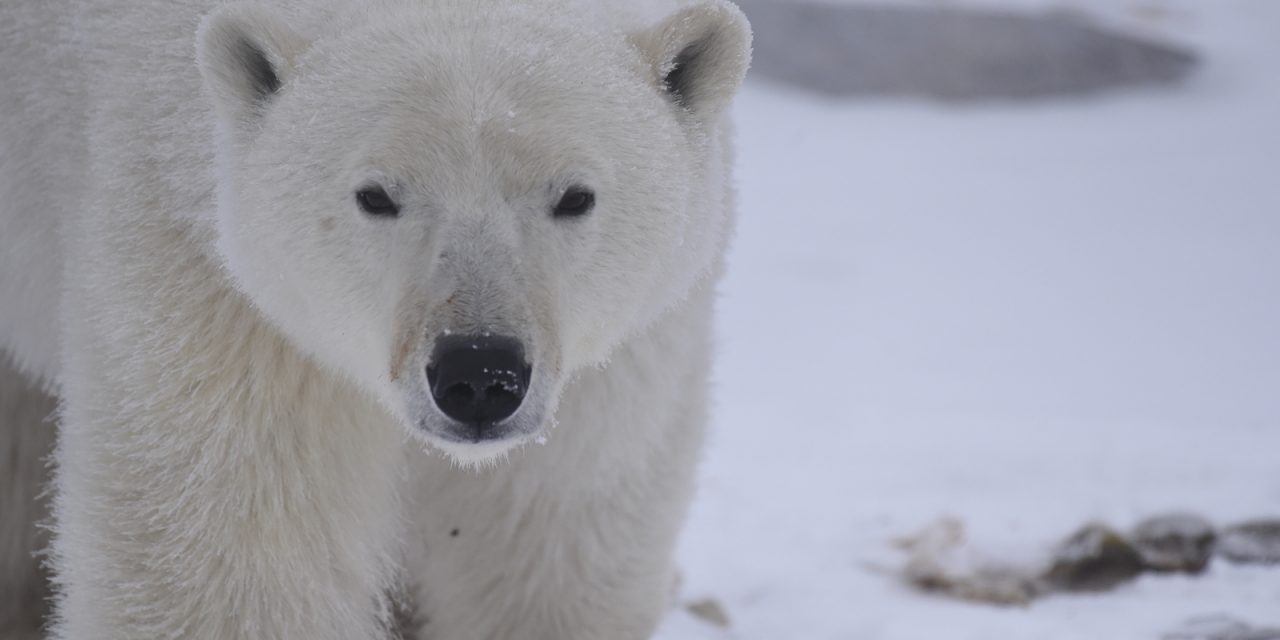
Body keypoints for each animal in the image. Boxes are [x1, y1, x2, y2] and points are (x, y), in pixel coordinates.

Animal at [0, 0, 751, 638]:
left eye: (574, 196)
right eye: (376, 195)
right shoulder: (204, 275)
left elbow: (544, 546)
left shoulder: (619, 363)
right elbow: (229, 563)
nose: (479, 375)